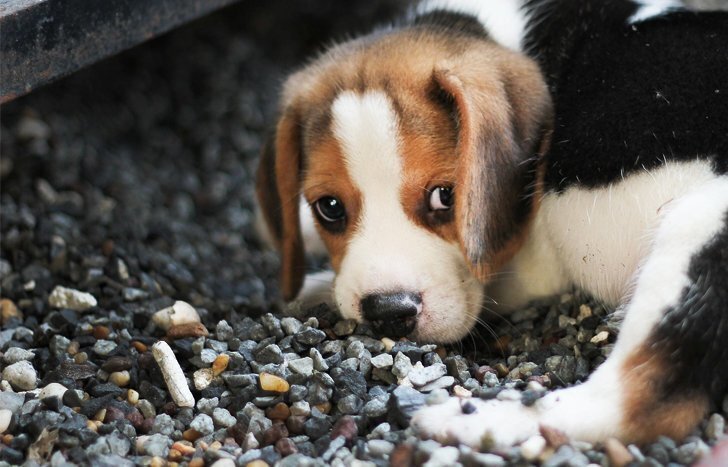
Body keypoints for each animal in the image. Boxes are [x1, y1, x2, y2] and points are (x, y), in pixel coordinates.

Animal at [258, 0, 728, 450]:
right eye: (329, 207)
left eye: (445, 196)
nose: (388, 312)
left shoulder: (531, 266)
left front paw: (312, 286)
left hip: (697, 226)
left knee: (636, 402)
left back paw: (477, 421)